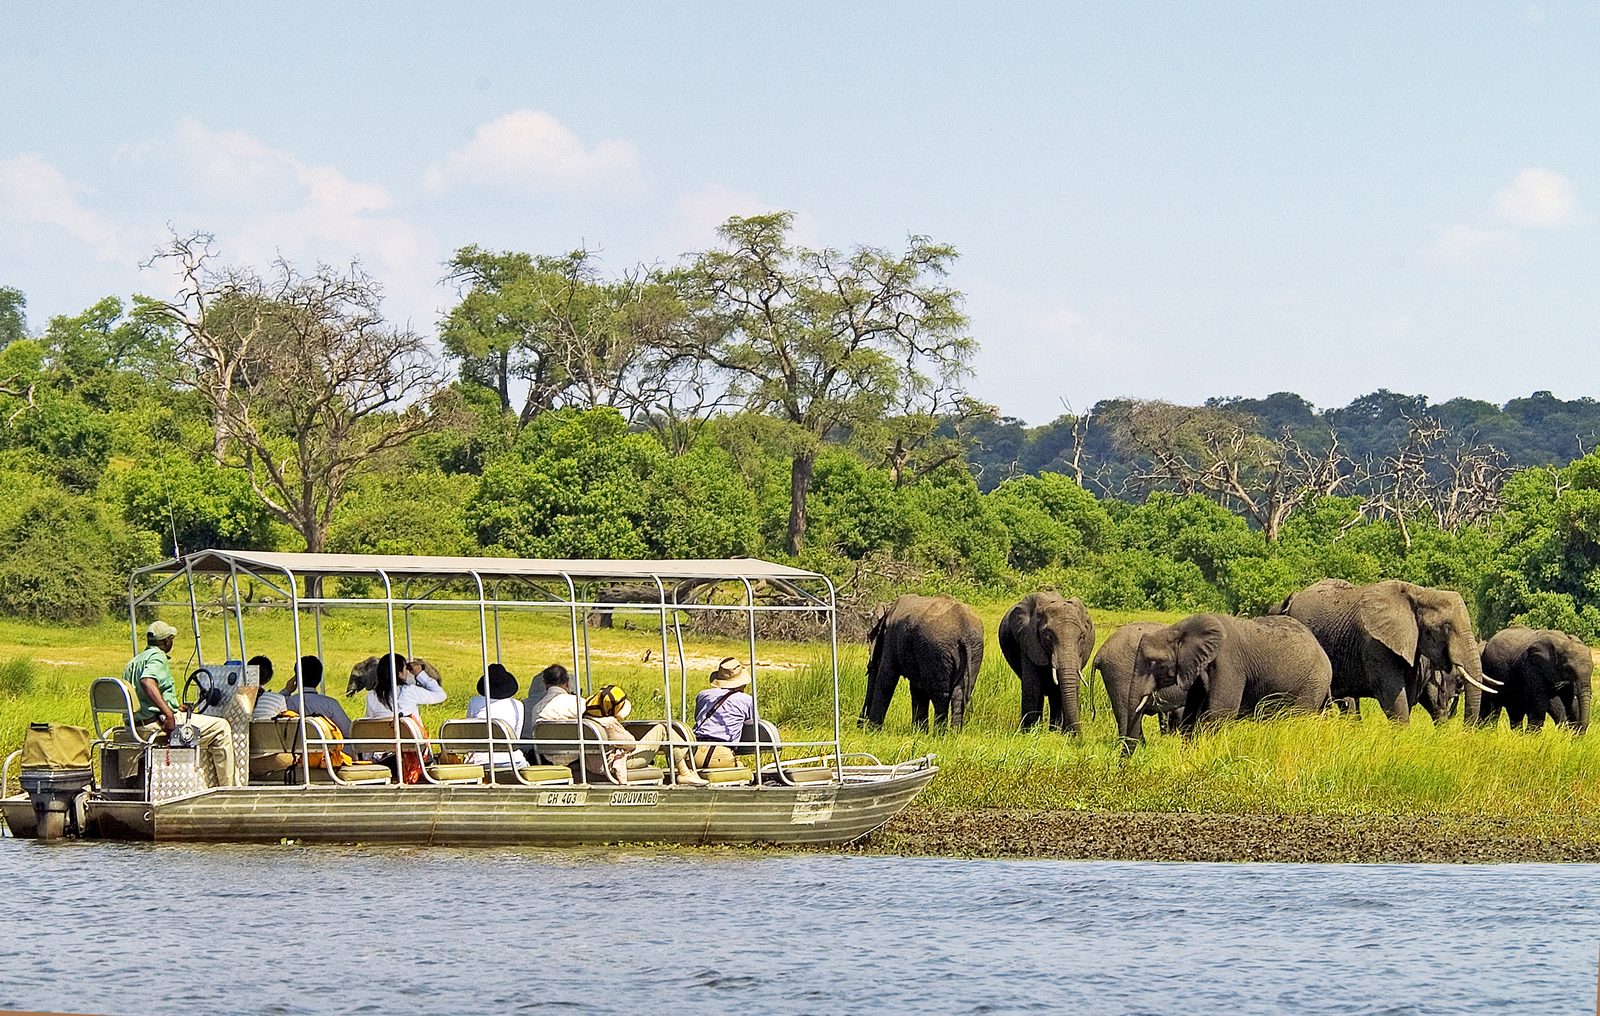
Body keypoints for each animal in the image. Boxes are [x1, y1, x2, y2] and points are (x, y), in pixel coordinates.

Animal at [860, 594, 985, 731]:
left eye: (870, 638)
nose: (860, 726)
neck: (889, 606)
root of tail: (964, 632)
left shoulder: (891, 639)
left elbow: (887, 678)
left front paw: (873, 730)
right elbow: (917, 687)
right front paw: (919, 731)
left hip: (937, 651)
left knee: (941, 695)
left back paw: (939, 733)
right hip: (974, 652)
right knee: (959, 693)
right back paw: (953, 733)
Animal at [998, 592, 1096, 733]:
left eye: (1081, 637)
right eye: (1048, 636)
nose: (1078, 736)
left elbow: (1067, 686)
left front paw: (1062, 734)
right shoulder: (1029, 641)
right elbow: (1032, 686)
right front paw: (1028, 733)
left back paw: (1053, 730)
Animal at [1132, 613, 1332, 730]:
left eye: (1153, 662)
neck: (1178, 628)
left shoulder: (1229, 662)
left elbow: (1220, 712)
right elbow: (1192, 711)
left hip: (1313, 681)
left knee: (1298, 716)